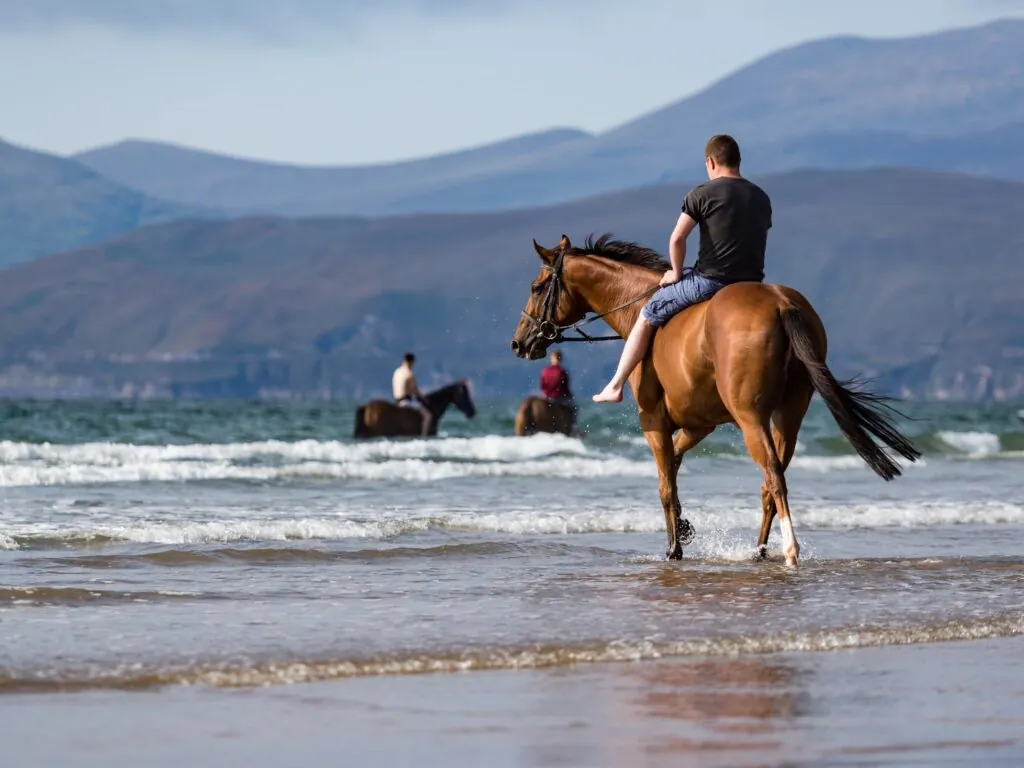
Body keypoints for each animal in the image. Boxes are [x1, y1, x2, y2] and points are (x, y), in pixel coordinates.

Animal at [510, 234, 921, 566]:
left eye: (536, 286)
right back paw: (759, 551)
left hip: (751, 417)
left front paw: (673, 548)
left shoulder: (653, 422)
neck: (635, 305)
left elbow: (665, 484)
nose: (519, 343)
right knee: (771, 481)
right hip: (789, 415)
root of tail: (781, 303)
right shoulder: (698, 424)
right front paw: (684, 527)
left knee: (773, 476)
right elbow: (675, 466)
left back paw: (790, 551)